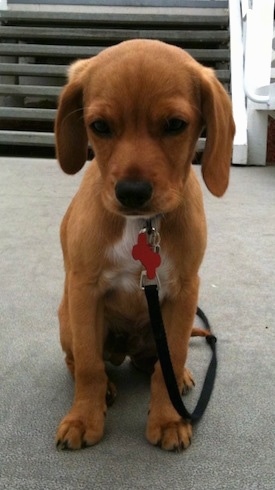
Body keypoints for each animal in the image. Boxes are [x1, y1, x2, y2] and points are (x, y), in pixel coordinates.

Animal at [55, 38, 236, 452]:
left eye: (175, 125)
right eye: (99, 126)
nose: (132, 193)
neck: (143, 226)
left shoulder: (184, 291)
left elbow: (173, 357)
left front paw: (169, 419)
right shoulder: (84, 289)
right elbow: (88, 365)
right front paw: (82, 418)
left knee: (159, 362)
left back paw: (180, 376)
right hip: (67, 319)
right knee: (81, 361)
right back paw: (106, 388)